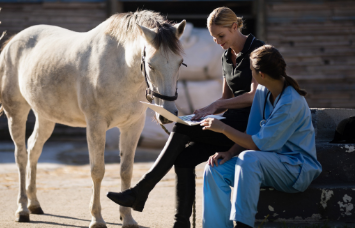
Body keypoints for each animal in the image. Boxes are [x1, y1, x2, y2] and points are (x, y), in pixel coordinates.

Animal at [0, 9, 188, 227]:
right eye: (150, 64)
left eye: (179, 63)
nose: (168, 114)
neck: (120, 66)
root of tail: (12, 42)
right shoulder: (96, 126)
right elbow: (97, 171)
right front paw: (97, 219)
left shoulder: (132, 126)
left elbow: (126, 170)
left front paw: (127, 218)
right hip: (17, 113)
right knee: (21, 156)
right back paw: (22, 209)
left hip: (46, 117)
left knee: (33, 149)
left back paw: (34, 204)